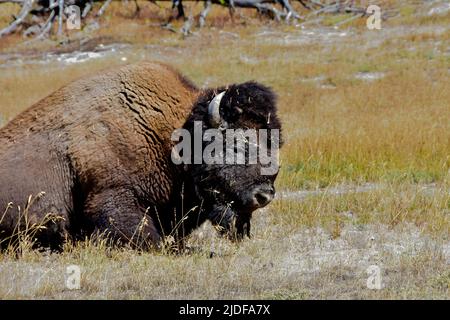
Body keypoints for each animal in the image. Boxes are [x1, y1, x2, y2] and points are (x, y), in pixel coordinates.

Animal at [0, 60, 282, 250]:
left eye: (275, 144)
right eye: (236, 145)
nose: (264, 195)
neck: (176, 139)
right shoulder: (112, 198)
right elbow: (154, 240)